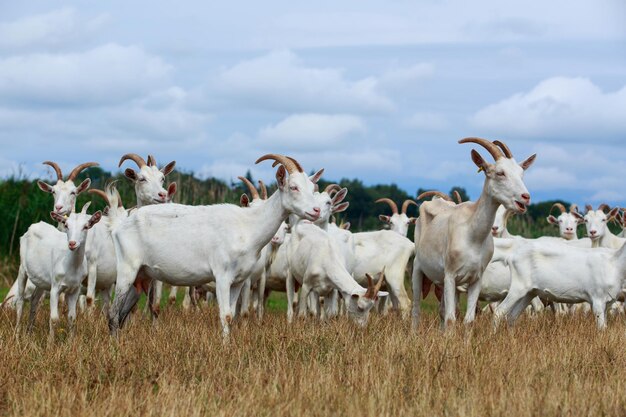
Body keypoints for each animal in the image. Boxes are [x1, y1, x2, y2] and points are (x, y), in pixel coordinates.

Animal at [108, 153, 322, 338]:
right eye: (293, 187)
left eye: (313, 189)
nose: (316, 210)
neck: (248, 226)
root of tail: (121, 225)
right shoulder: (222, 276)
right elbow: (225, 315)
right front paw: (225, 348)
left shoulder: (239, 281)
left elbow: (232, 315)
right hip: (127, 268)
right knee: (113, 313)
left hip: (141, 276)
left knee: (122, 313)